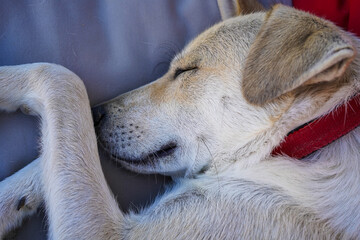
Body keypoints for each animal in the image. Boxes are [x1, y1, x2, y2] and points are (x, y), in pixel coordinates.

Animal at [0, 1, 360, 238]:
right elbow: (65, 145)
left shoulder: (104, 233)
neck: (309, 133)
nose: (97, 114)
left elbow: (64, 81)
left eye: (187, 70)